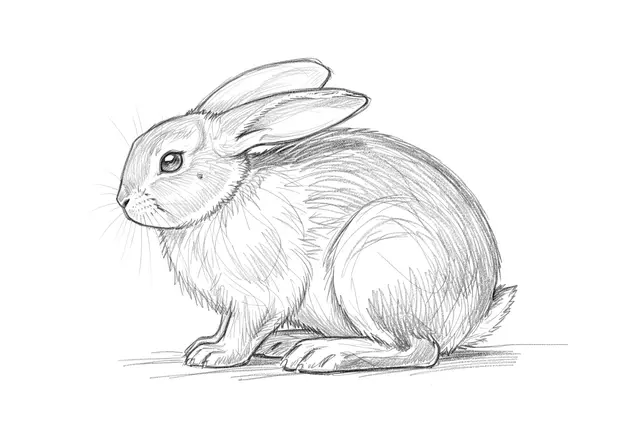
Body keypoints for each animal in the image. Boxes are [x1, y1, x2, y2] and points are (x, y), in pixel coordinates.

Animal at [116, 58, 516, 373]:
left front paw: (214, 355)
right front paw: (206, 343)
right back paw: (285, 343)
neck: (226, 197)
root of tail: (467, 321)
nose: (123, 200)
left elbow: (244, 328)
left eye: (171, 161)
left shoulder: (261, 295)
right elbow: (227, 324)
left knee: (417, 349)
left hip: (375, 264)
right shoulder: (233, 302)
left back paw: (322, 354)